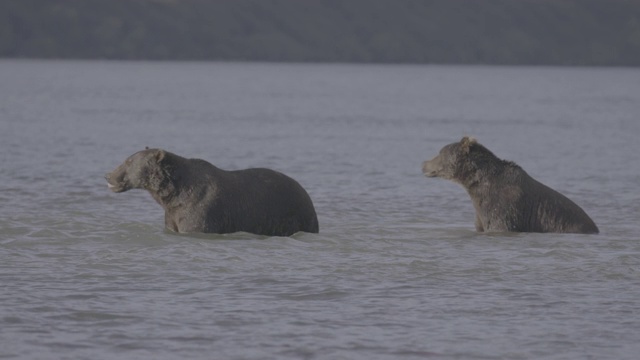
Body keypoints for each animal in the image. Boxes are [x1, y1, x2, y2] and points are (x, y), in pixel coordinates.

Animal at [105, 148, 320, 238]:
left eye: (129, 162)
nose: (108, 176)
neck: (173, 194)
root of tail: (306, 192)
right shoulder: (173, 213)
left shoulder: (199, 209)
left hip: (295, 215)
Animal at [422, 137, 596, 233]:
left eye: (440, 152)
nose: (424, 164)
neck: (477, 185)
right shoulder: (480, 212)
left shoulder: (502, 206)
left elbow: (501, 224)